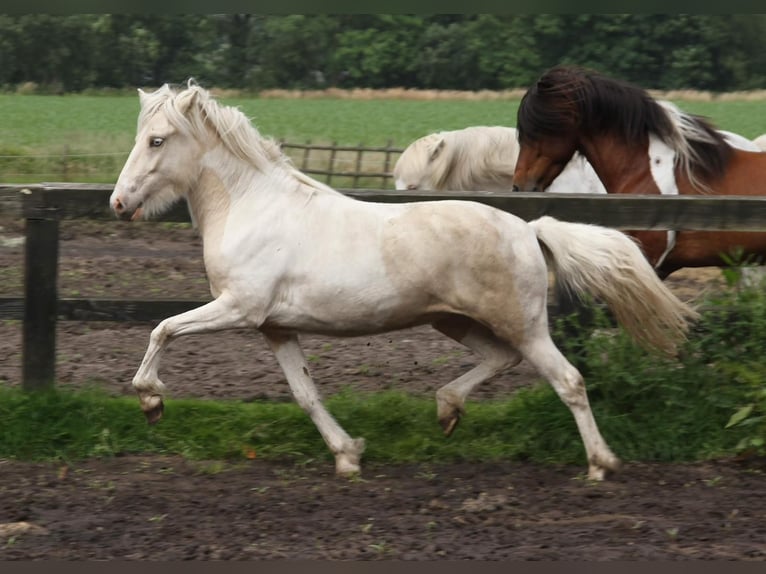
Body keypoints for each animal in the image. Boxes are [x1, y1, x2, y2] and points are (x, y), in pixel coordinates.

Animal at [109, 81, 704, 484]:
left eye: (157, 140)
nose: (118, 203)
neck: (255, 207)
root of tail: (530, 229)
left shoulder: (239, 308)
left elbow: (163, 329)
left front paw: (151, 401)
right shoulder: (276, 328)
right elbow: (305, 394)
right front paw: (348, 455)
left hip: (524, 324)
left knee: (569, 381)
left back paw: (600, 464)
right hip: (454, 321)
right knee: (500, 360)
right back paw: (447, 411)